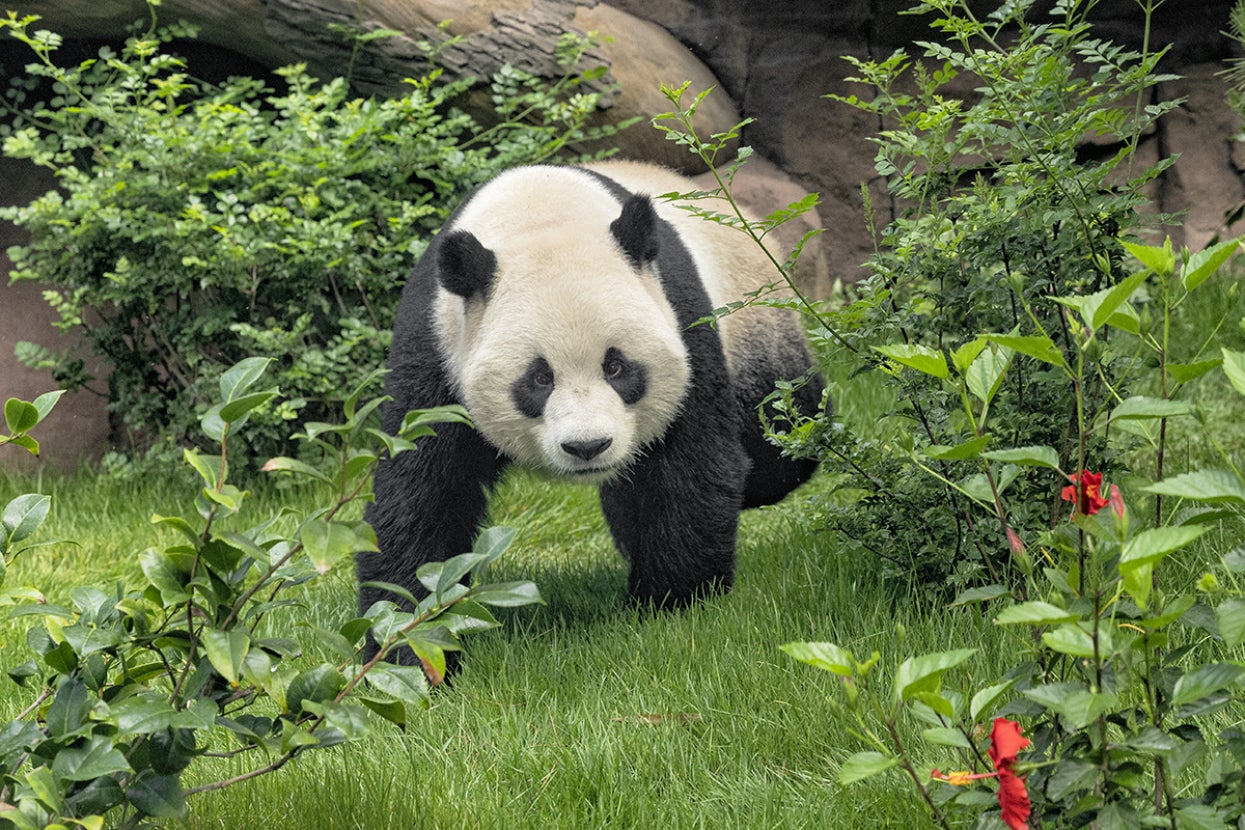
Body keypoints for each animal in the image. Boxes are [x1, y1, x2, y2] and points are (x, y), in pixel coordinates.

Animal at [359, 160, 824, 625]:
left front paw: (672, 602)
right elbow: (424, 490)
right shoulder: (436, 346)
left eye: (615, 367)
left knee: (778, 443)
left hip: (755, 327)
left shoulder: (682, 319)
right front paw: (405, 624)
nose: (588, 447)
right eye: (539, 379)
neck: (539, 214)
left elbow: (689, 466)